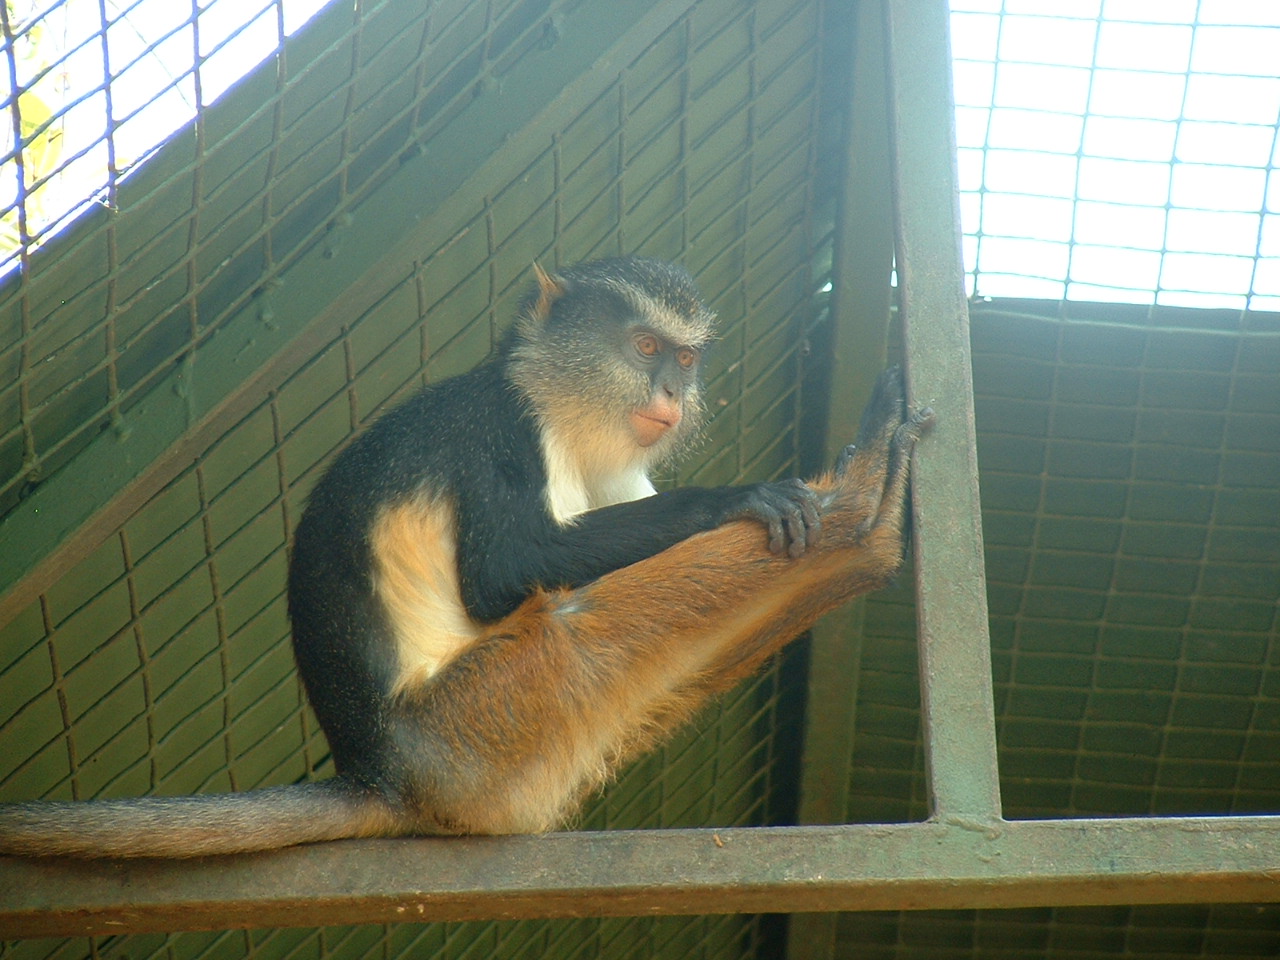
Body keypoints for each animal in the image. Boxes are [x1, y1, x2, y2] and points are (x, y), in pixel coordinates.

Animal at [0, 257, 932, 858]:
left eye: (684, 358)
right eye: (642, 348)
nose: (671, 393)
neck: (562, 402)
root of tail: (382, 774)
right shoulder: (501, 423)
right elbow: (500, 574)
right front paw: (732, 499)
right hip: (489, 715)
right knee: (570, 619)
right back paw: (864, 514)